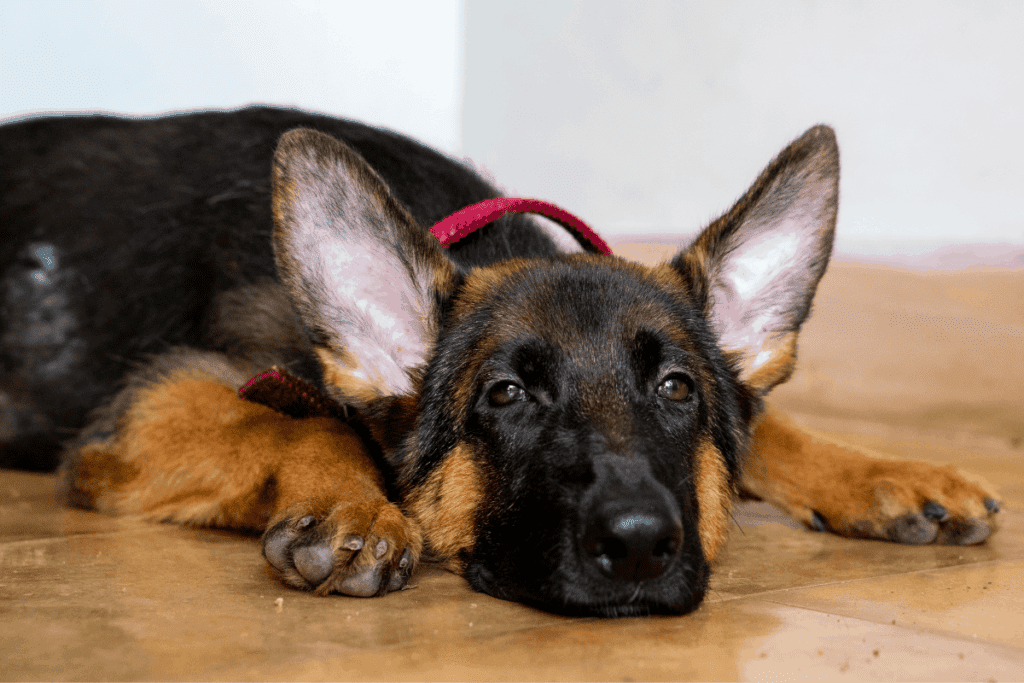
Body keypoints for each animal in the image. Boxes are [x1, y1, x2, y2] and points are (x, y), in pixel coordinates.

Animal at [0, 108, 995, 618]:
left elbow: (771, 423)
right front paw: (350, 503)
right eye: (507, 395)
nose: (641, 543)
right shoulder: (148, 407)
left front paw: (887, 471)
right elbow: (314, 419)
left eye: (677, 388)